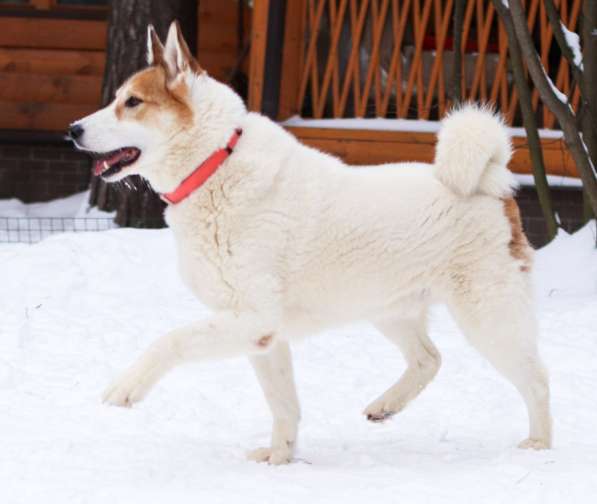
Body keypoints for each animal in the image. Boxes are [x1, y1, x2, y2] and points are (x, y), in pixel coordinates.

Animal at [68, 20, 548, 464]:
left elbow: (169, 340)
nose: (72, 130)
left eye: (132, 103)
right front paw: (279, 459)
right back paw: (385, 406)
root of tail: (493, 184)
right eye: (117, 98)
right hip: (389, 309)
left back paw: (539, 444)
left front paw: (126, 387)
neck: (215, 165)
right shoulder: (263, 337)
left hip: (489, 318)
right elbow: (284, 406)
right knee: (429, 359)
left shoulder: (253, 320)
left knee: (536, 377)